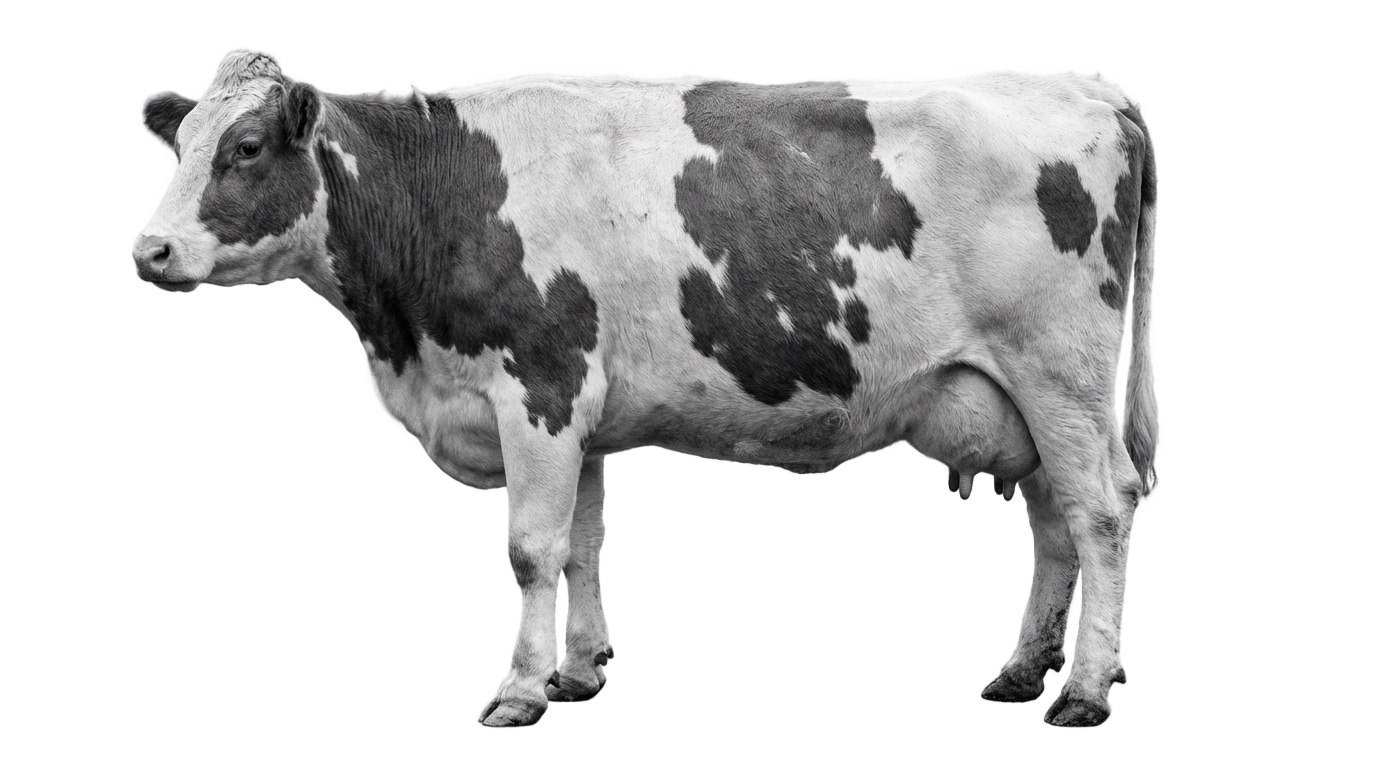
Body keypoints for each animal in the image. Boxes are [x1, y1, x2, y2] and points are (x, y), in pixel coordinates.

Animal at [130, 50, 1156, 729]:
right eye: (181, 143)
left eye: (247, 146)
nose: (152, 250)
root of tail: (1088, 87)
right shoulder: (575, 415)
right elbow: (583, 546)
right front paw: (578, 675)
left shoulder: (539, 388)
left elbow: (534, 552)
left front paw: (518, 692)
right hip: (1015, 396)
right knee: (1054, 524)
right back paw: (1025, 674)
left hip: (1061, 372)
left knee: (1100, 518)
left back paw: (1084, 692)